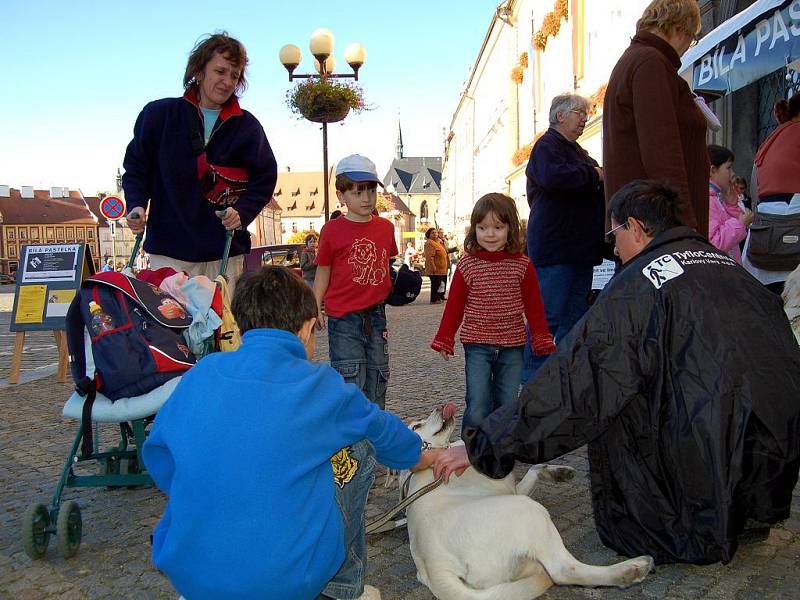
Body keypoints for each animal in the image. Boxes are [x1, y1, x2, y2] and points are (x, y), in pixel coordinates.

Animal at [404, 404, 652, 600]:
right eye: (415, 427)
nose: (440, 406)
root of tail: (435, 568)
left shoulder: (512, 488)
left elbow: (535, 468)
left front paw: (559, 472)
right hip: (528, 509)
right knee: (562, 570)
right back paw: (631, 569)